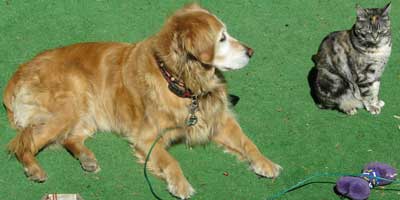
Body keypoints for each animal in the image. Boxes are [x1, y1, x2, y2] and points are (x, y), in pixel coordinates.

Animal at [2, 3, 282, 198]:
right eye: (221, 38)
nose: (251, 52)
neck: (180, 81)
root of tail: (19, 72)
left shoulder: (217, 120)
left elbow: (247, 142)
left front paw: (266, 163)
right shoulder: (147, 138)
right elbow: (170, 160)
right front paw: (180, 184)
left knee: (69, 138)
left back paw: (86, 158)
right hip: (68, 106)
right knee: (21, 143)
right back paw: (33, 168)